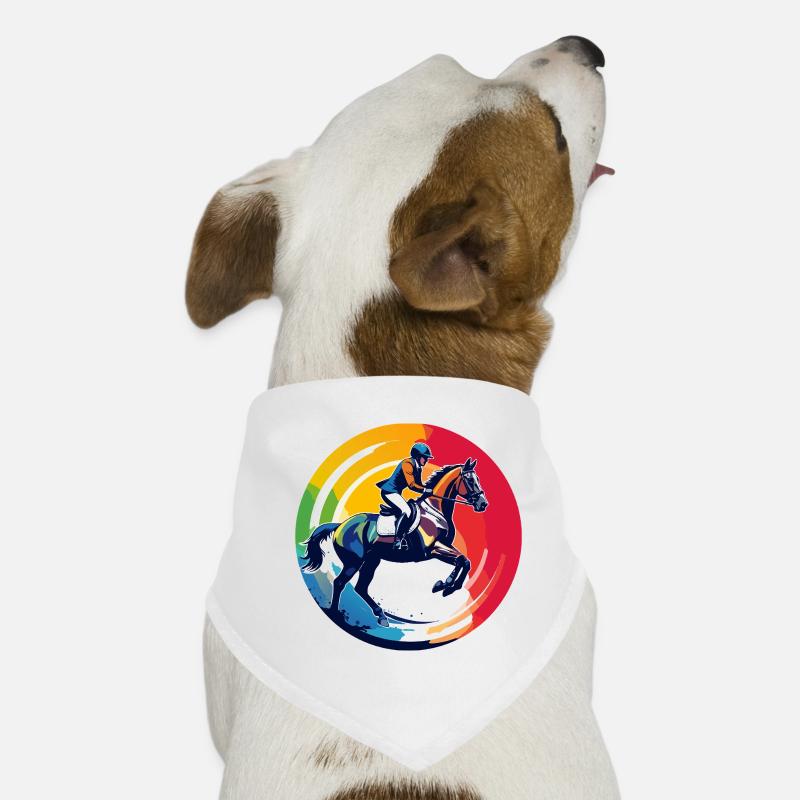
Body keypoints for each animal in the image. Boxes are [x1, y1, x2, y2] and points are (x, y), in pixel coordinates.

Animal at [301, 458, 488, 627]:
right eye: (470, 480)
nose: (483, 504)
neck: (435, 510)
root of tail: (340, 525)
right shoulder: (431, 549)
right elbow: (462, 560)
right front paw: (447, 585)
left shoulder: (442, 546)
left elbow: (464, 561)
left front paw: (444, 585)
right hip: (353, 562)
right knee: (340, 583)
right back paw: (336, 614)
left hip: (371, 560)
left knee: (361, 587)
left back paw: (381, 616)